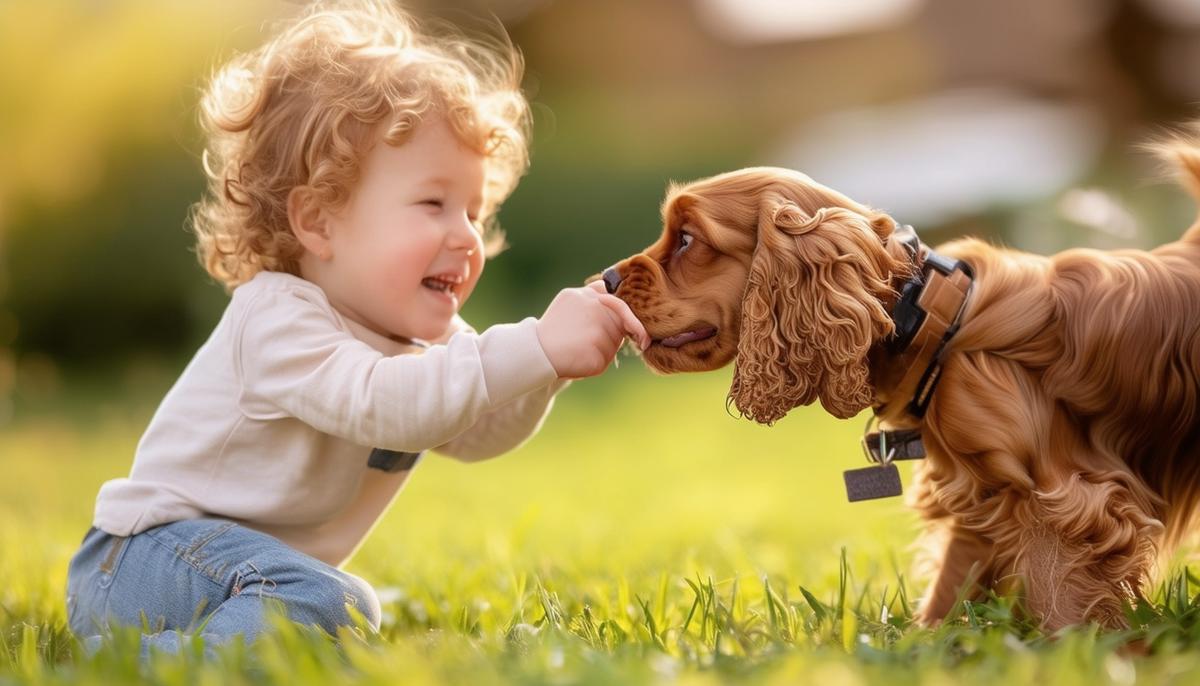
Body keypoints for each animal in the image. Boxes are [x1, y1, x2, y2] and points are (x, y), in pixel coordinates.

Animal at [604, 142, 1200, 628]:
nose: (604, 280)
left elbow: (1063, 604)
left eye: (687, 239)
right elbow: (947, 593)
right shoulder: (980, 494)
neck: (926, 318)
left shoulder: (1063, 498)